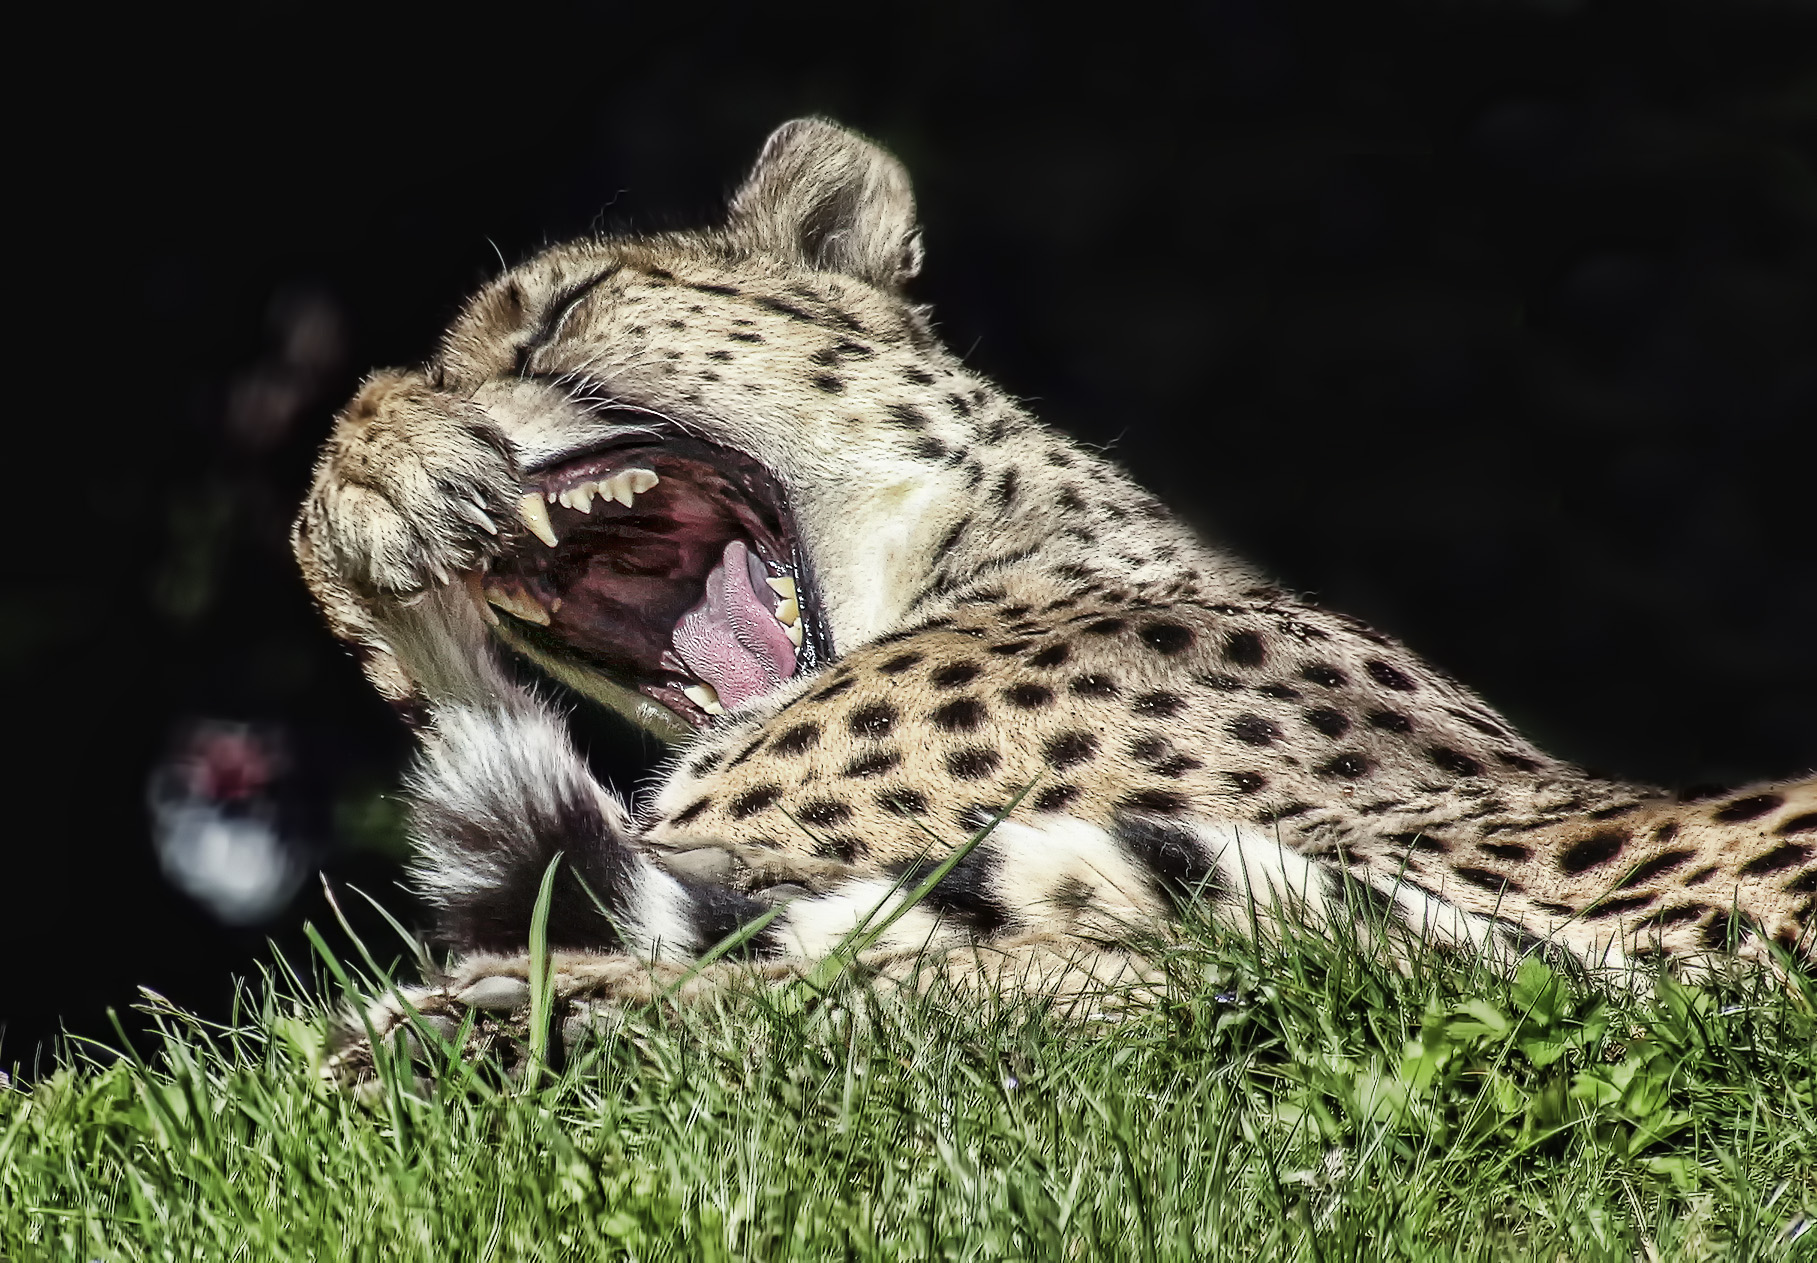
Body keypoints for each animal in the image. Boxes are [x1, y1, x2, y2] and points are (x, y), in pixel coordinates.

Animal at [297, 116, 1817, 1046]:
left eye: (560, 312)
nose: (453, 406)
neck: (981, 540)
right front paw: (381, 487)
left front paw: (371, 461)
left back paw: (499, 1030)